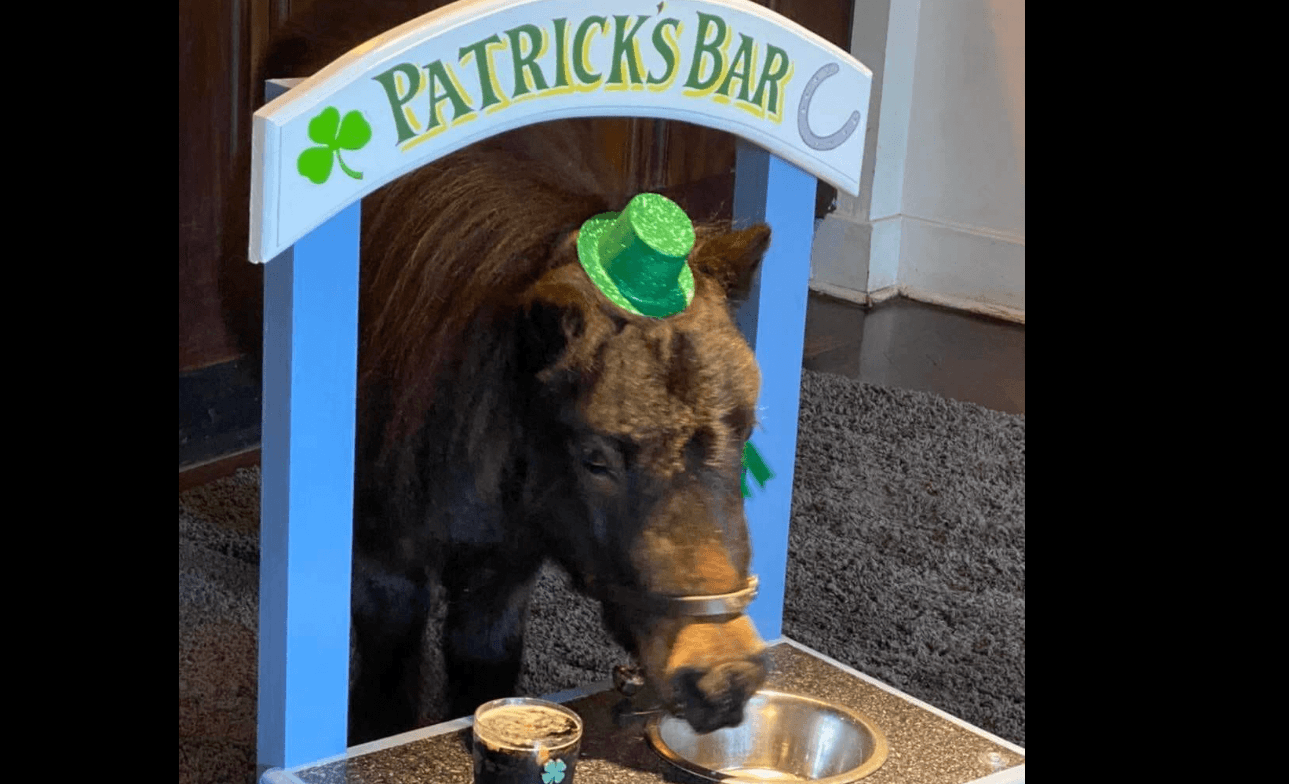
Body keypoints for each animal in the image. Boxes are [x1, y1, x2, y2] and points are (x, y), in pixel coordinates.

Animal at [224, 0, 776, 746]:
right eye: (595, 458)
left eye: (744, 433)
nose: (722, 678)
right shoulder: (381, 563)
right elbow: (384, 685)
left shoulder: (505, 569)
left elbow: (484, 671)